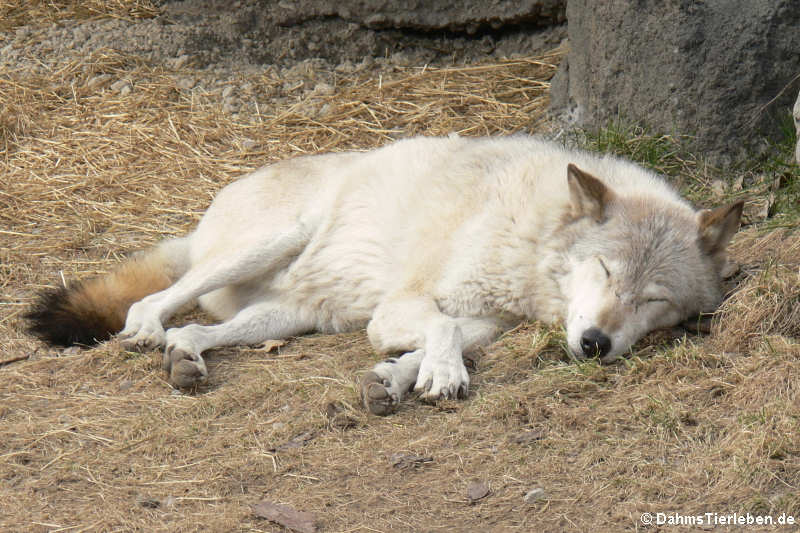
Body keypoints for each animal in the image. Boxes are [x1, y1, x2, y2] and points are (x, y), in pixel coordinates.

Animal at [29, 134, 744, 416]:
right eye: (602, 268)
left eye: (652, 299)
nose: (596, 344)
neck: (533, 234)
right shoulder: (401, 308)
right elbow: (441, 335)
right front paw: (439, 376)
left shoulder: (486, 322)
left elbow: (437, 345)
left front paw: (396, 381)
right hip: (268, 244)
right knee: (154, 301)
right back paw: (150, 332)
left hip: (302, 315)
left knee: (204, 332)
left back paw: (186, 360)